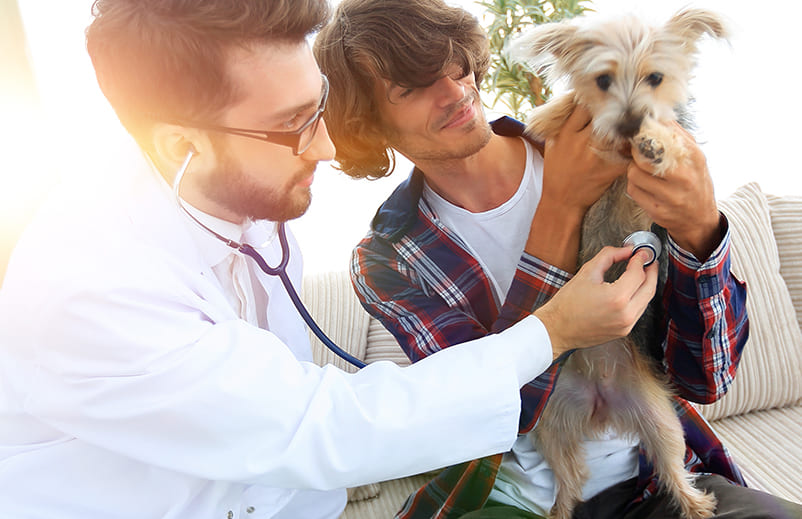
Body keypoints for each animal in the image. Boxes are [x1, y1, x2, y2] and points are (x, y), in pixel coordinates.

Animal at [510, 8, 728, 519]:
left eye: (656, 78)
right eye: (603, 80)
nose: (629, 123)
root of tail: (601, 400)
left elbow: (670, 140)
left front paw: (656, 143)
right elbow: (569, 105)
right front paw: (547, 113)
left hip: (661, 421)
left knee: (672, 469)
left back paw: (697, 505)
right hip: (551, 423)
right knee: (571, 480)